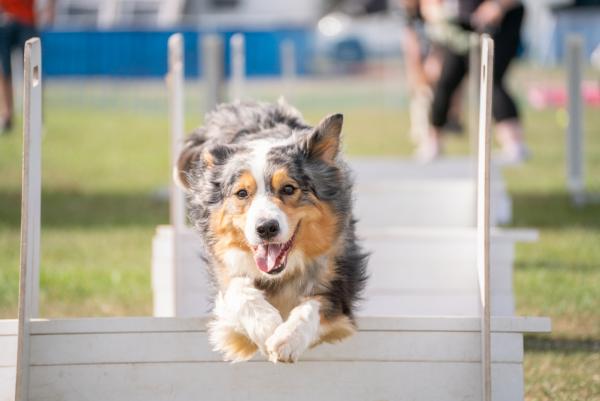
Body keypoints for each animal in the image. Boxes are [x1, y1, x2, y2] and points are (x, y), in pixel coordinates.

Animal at [176, 100, 368, 362]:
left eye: (288, 188)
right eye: (242, 193)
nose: (266, 228)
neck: (278, 275)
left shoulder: (339, 275)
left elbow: (316, 304)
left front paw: (287, 338)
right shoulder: (224, 265)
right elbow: (238, 289)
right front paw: (266, 326)